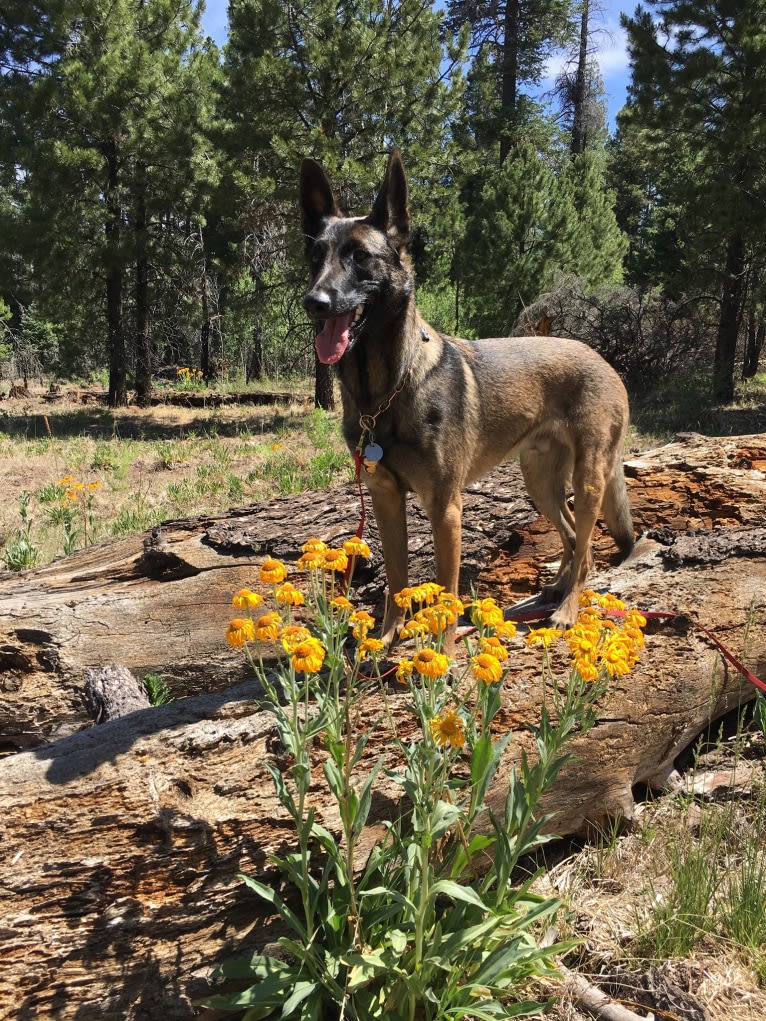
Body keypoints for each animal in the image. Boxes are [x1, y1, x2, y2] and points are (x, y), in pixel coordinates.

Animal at [300, 149, 637, 645]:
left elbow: (446, 589)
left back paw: (568, 608)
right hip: (540, 481)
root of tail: (600, 357)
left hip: (589, 477)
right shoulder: (385, 499)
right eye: (315, 257)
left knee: (587, 545)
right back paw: (555, 591)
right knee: (576, 541)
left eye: (360, 257)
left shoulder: (445, 508)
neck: (383, 392)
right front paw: (386, 637)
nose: (314, 302)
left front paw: (442, 649)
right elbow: (397, 578)